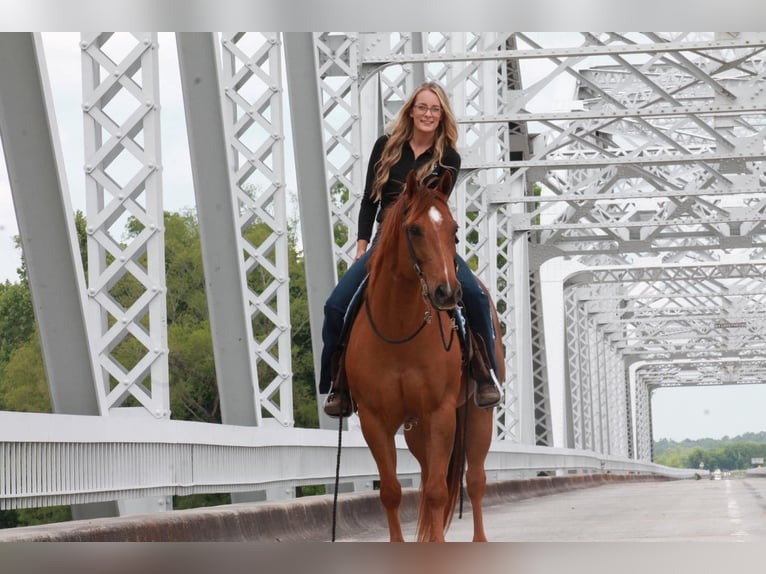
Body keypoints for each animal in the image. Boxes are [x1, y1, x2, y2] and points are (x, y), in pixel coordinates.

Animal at [344, 169, 504, 544]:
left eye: (455, 230)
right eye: (414, 229)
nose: (447, 292)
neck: (399, 329)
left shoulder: (440, 413)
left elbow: (436, 491)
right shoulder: (375, 420)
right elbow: (392, 491)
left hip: (477, 416)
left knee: (475, 480)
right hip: (416, 431)